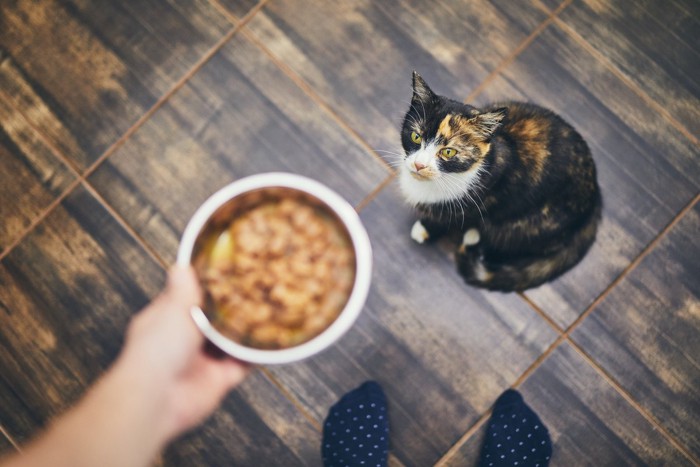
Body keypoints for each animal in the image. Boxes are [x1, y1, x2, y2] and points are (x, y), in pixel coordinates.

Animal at [400, 72, 600, 292]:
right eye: (416, 136)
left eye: (448, 152)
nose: (419, 165)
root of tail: (595, 195)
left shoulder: (477, 202)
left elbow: (449, 218)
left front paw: (426, 229)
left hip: (531, 223)